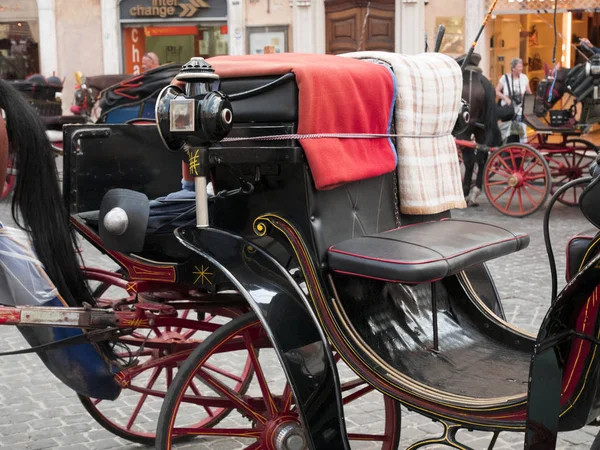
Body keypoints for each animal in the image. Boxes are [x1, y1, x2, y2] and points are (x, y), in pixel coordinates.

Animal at [454, 53, 502, 206]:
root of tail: (480, 79)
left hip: (465, 132)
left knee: (470, 160)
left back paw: (465, 193)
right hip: (481, 130)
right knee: (481, 156)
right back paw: (474, 192)